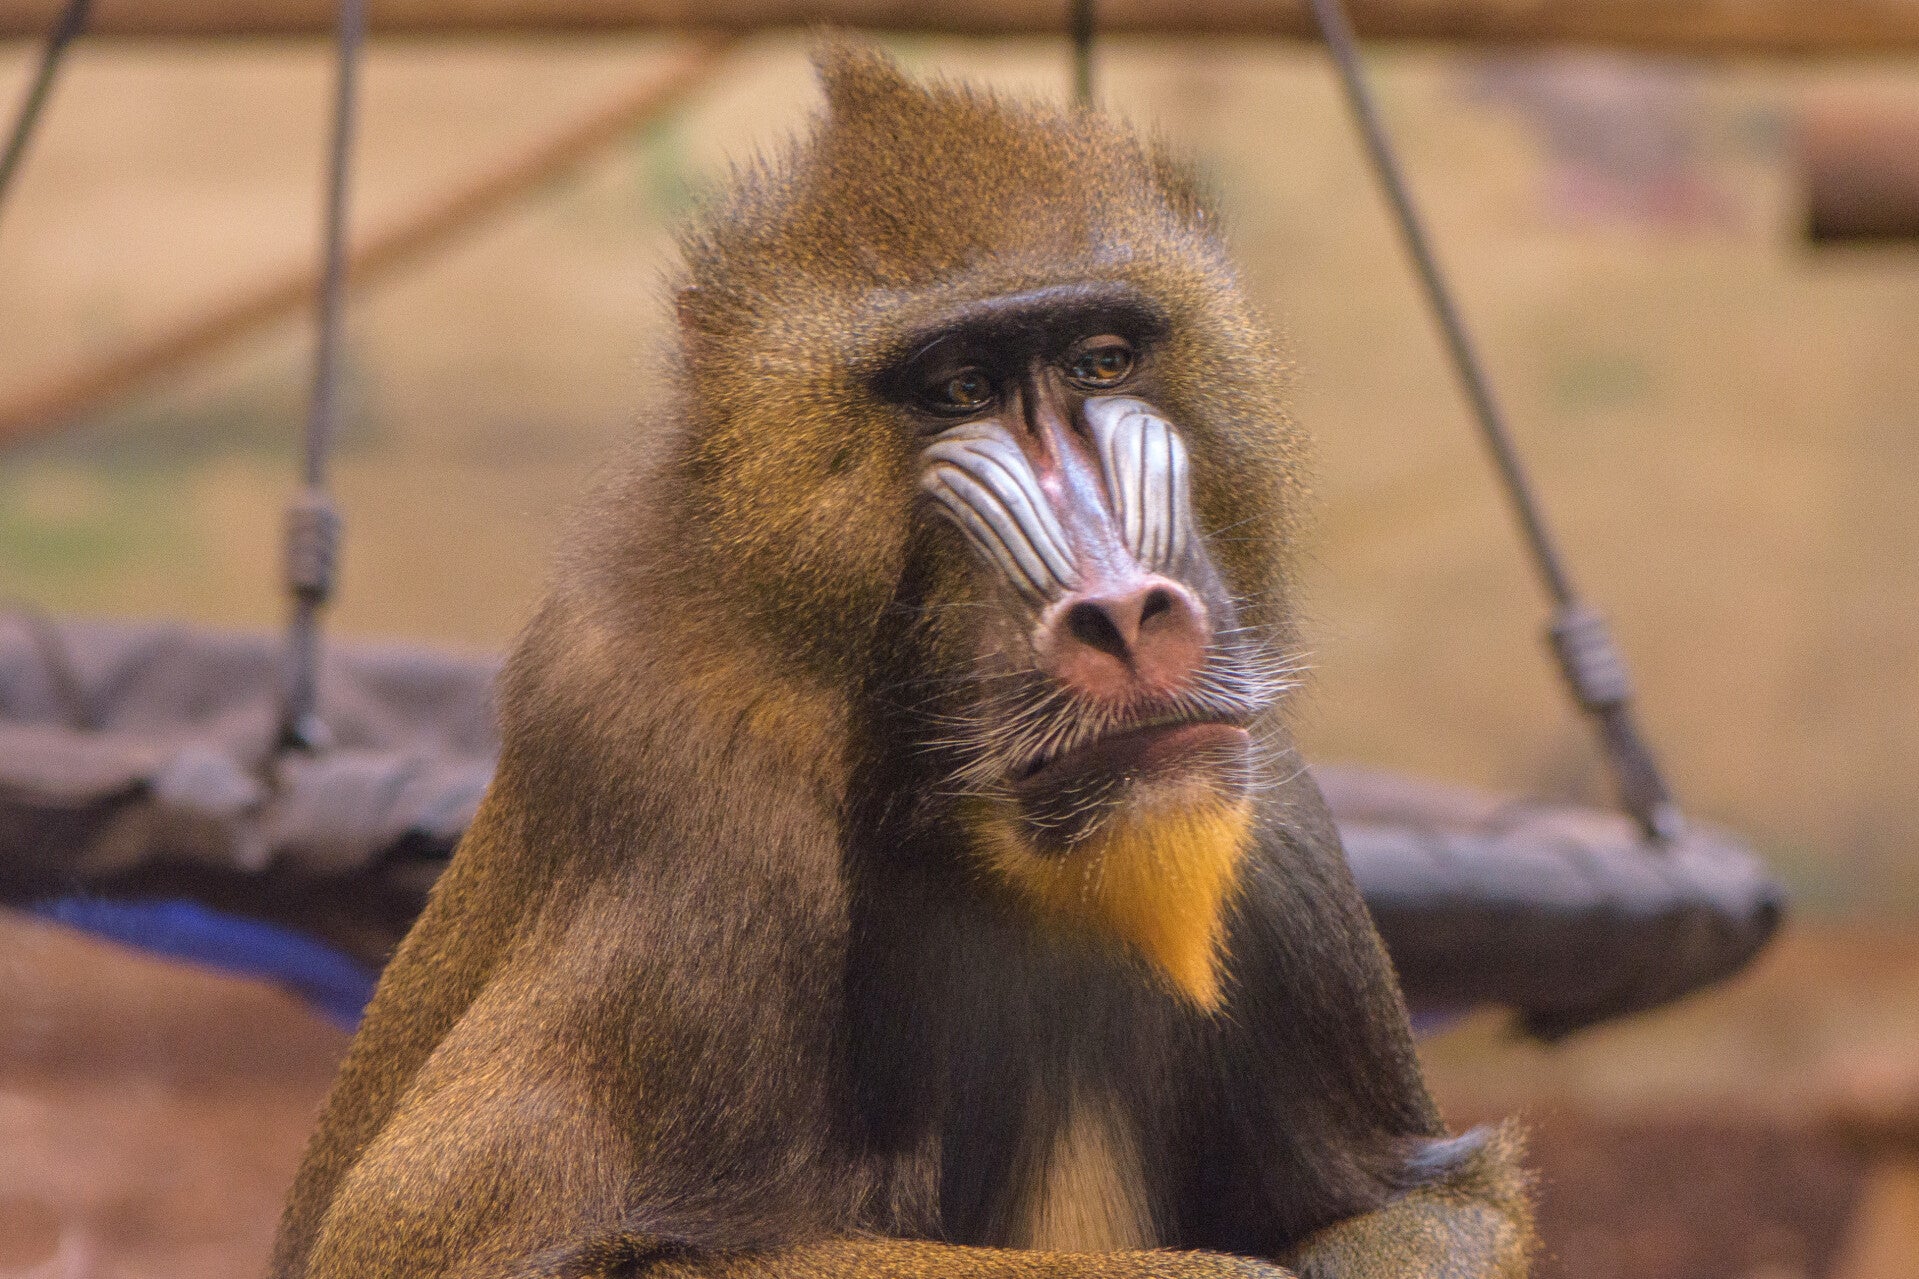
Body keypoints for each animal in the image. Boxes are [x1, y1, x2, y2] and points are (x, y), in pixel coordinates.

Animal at [269, 43, 1533, 1279]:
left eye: (1101, 361)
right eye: (957, 390)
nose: (1125, 615)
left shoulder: (1260, 813)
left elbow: (1410, 1204)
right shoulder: (685, 792)